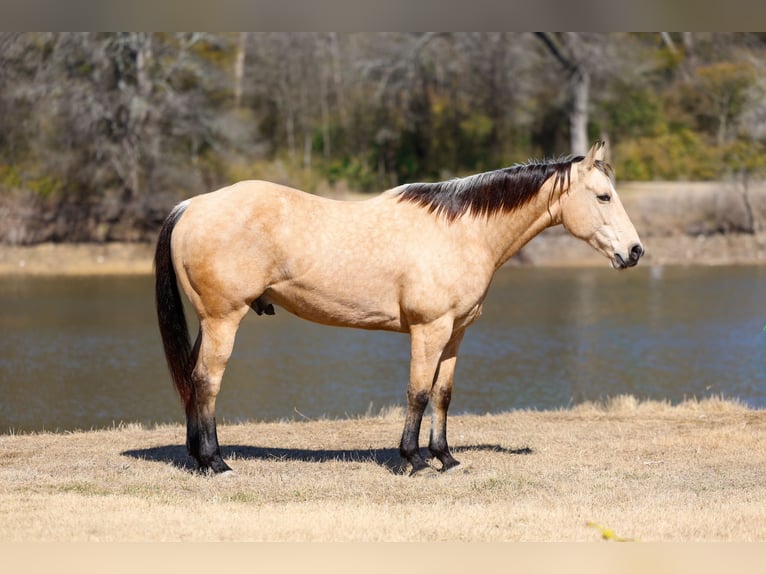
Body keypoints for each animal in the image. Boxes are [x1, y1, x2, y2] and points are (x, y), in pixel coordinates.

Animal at [154, 141, 643, 475]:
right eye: (603, 196)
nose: (635, 252)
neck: (461, 230)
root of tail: (191, 205)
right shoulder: (429, 329)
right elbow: (418, 392)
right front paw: (413, 460)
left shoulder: (456, 332)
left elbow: (443, 394)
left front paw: (445, 457)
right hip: (223, 319)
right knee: (207, 381)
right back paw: (215, 462)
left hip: (209, 322)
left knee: (194, 380)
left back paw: (197, 458)